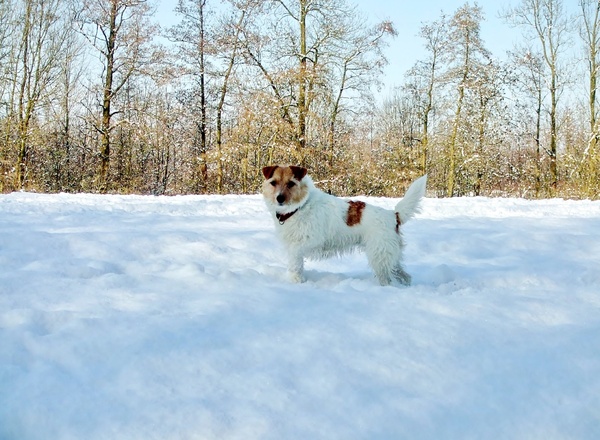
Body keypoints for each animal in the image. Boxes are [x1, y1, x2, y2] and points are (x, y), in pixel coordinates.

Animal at [262, 165, 426, 286]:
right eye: (273, 183)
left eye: (291, 183)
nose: (279, 198)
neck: (300, 206)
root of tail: (393, 215)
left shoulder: (308, 242)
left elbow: (295, 260)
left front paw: (295, 280)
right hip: (390, 257)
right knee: (405, 275)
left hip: (379, 257)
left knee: (387, 279)